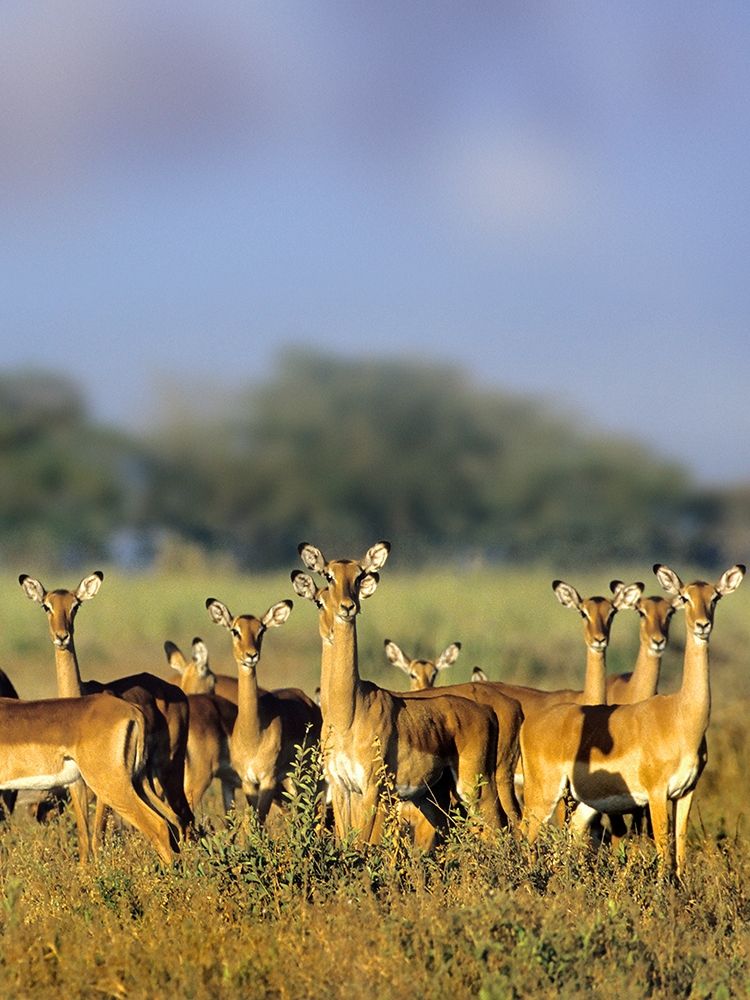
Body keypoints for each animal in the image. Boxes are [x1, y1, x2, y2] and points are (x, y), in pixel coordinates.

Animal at [19, 572, 194, 854]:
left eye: (76, 605)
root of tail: (175, 691)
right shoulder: (76, 783)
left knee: (185, 816)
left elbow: (97, 836)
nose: (62, 636)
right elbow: (83, 836)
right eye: (46, 606)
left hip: (169, 767)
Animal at [206, 598, 322, 824]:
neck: (253, 734)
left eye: (261, 631)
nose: (251, 655)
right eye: (235, 630)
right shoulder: (249, 782)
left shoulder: (268, 779)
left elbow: (259, 821)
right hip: (289, 778)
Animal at [291, 541, 505, 844]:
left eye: (359, 575)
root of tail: (488, 712)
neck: (348, 713)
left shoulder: (371, 789)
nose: (347, 607)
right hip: (433, 799)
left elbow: (364, 845)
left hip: (475, 788)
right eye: (328, 578)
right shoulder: (342, 788)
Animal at [520, 564, 745, 880]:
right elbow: (663, 845)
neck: (682, 716)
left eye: (715, 597)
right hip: (544, 794)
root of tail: (532, 722)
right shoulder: (656, 793)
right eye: (685, 597)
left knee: (571, 833)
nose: (703, 625)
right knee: (524, 833)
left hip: (584, 802)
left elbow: (680, 846)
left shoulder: (686, 792)